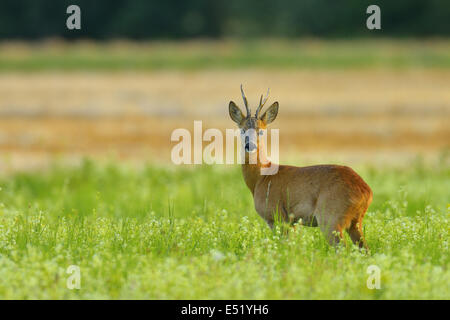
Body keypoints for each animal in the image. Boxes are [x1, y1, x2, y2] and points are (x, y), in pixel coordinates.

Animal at [229, 86, 372, 249]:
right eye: (242, 129)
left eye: (261, 131)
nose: (250, 145)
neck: (262, 177)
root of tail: (366, 191)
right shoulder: (293, 222)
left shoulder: (279, 217)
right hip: (355, 222)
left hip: (330, 218)